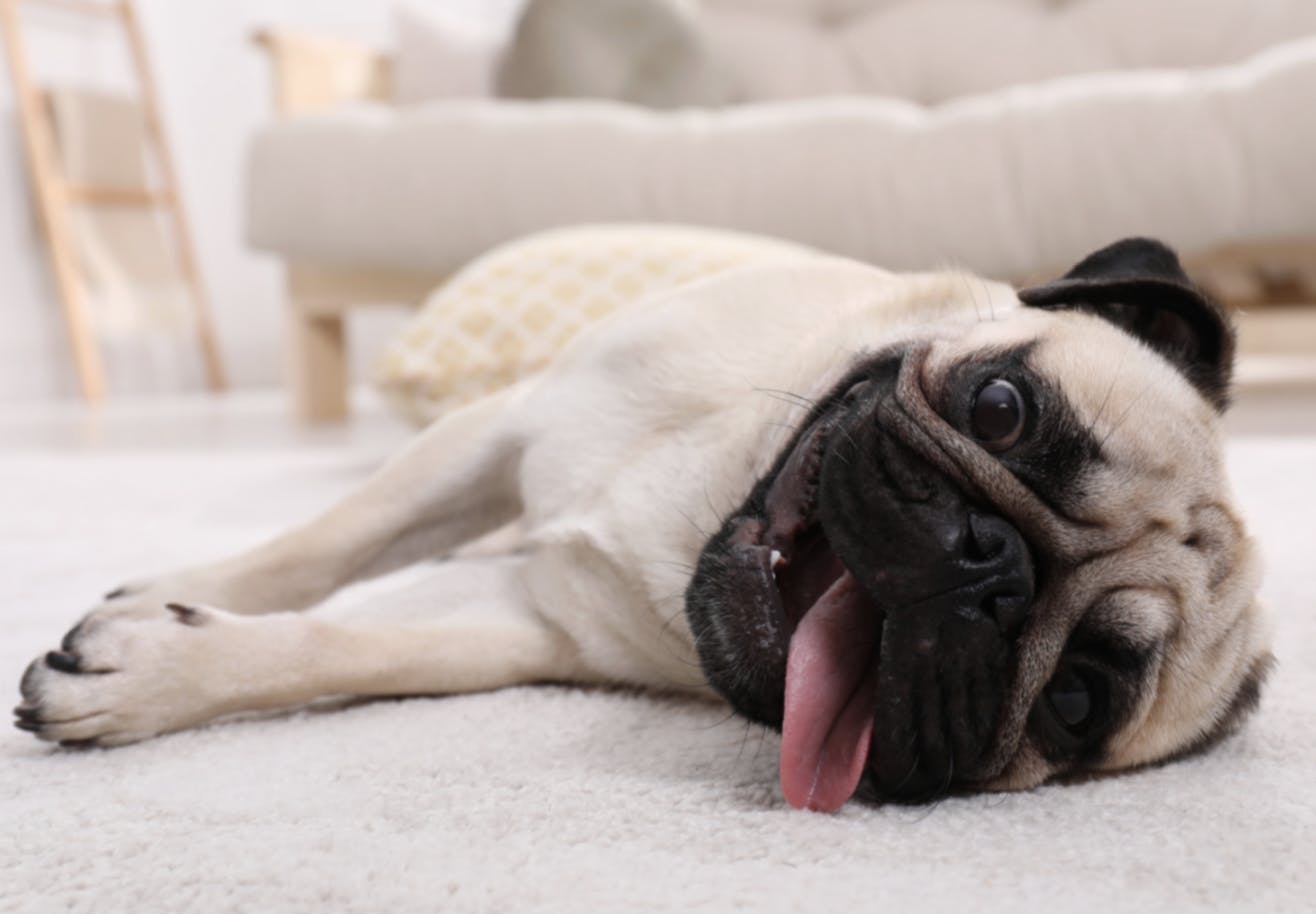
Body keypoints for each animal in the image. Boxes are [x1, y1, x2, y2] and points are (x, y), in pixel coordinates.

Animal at [12, 238, 1263, 815]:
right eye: (1000, 408)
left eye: (1074, 701)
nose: (985, 570)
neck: (707, 486)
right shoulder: (494, 428)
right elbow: (331, 545)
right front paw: (166, 599)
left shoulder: (529, 622)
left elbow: (347, 647)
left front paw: (154, 673)